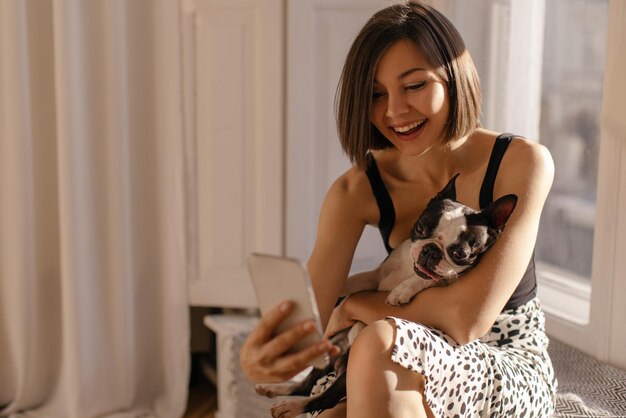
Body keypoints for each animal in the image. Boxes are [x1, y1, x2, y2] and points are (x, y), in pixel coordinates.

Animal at [254, 174, 516, 418]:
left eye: (459, 253)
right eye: (420, 229)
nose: (430, 250)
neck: (408, 269)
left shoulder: (450, 281)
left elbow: (430, 279)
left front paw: (402, 290)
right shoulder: (376, 277)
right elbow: (354, 281)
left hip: (348, 370)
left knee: (322, 398)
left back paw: (291, 406)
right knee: (306, 384)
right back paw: (274, 389)